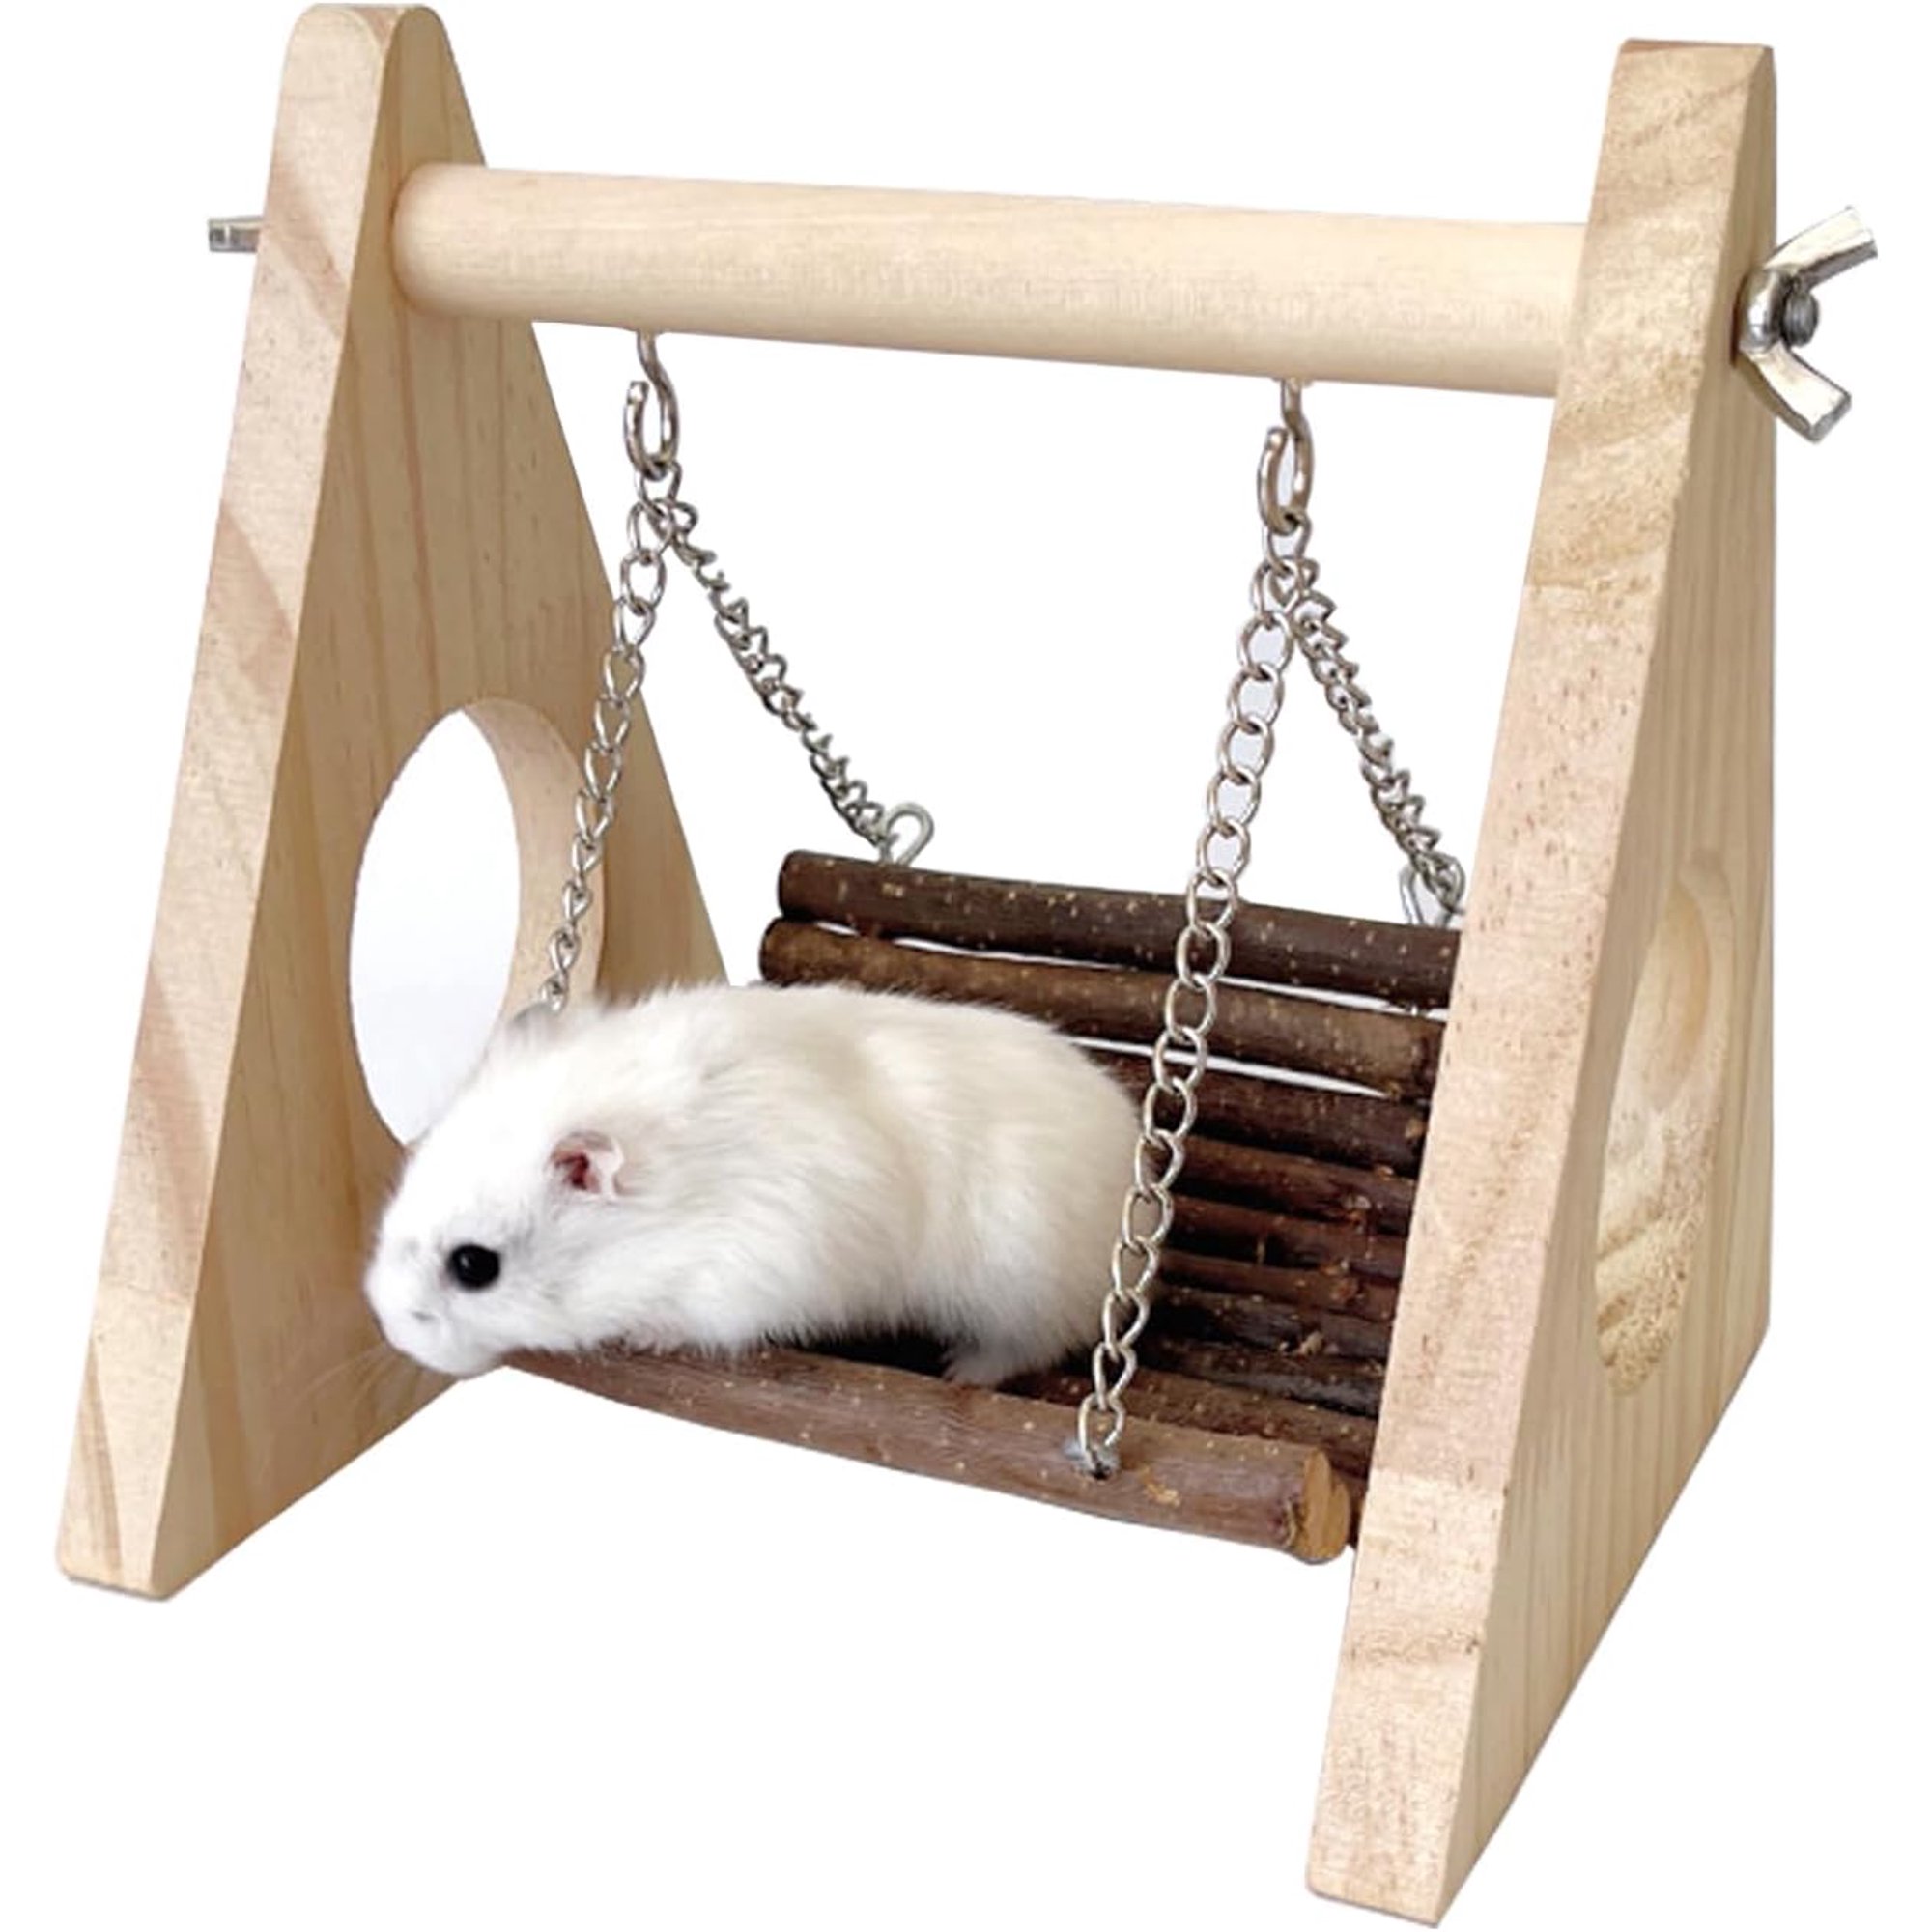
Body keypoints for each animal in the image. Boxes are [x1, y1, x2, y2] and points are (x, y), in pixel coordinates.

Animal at [363, 982, 1141, 1384]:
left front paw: (645, 1336)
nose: (392, 1327)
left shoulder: (748, 1272)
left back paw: (960, 1371)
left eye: (474, 1266)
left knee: (1028, 1345)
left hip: (1021, 1285)